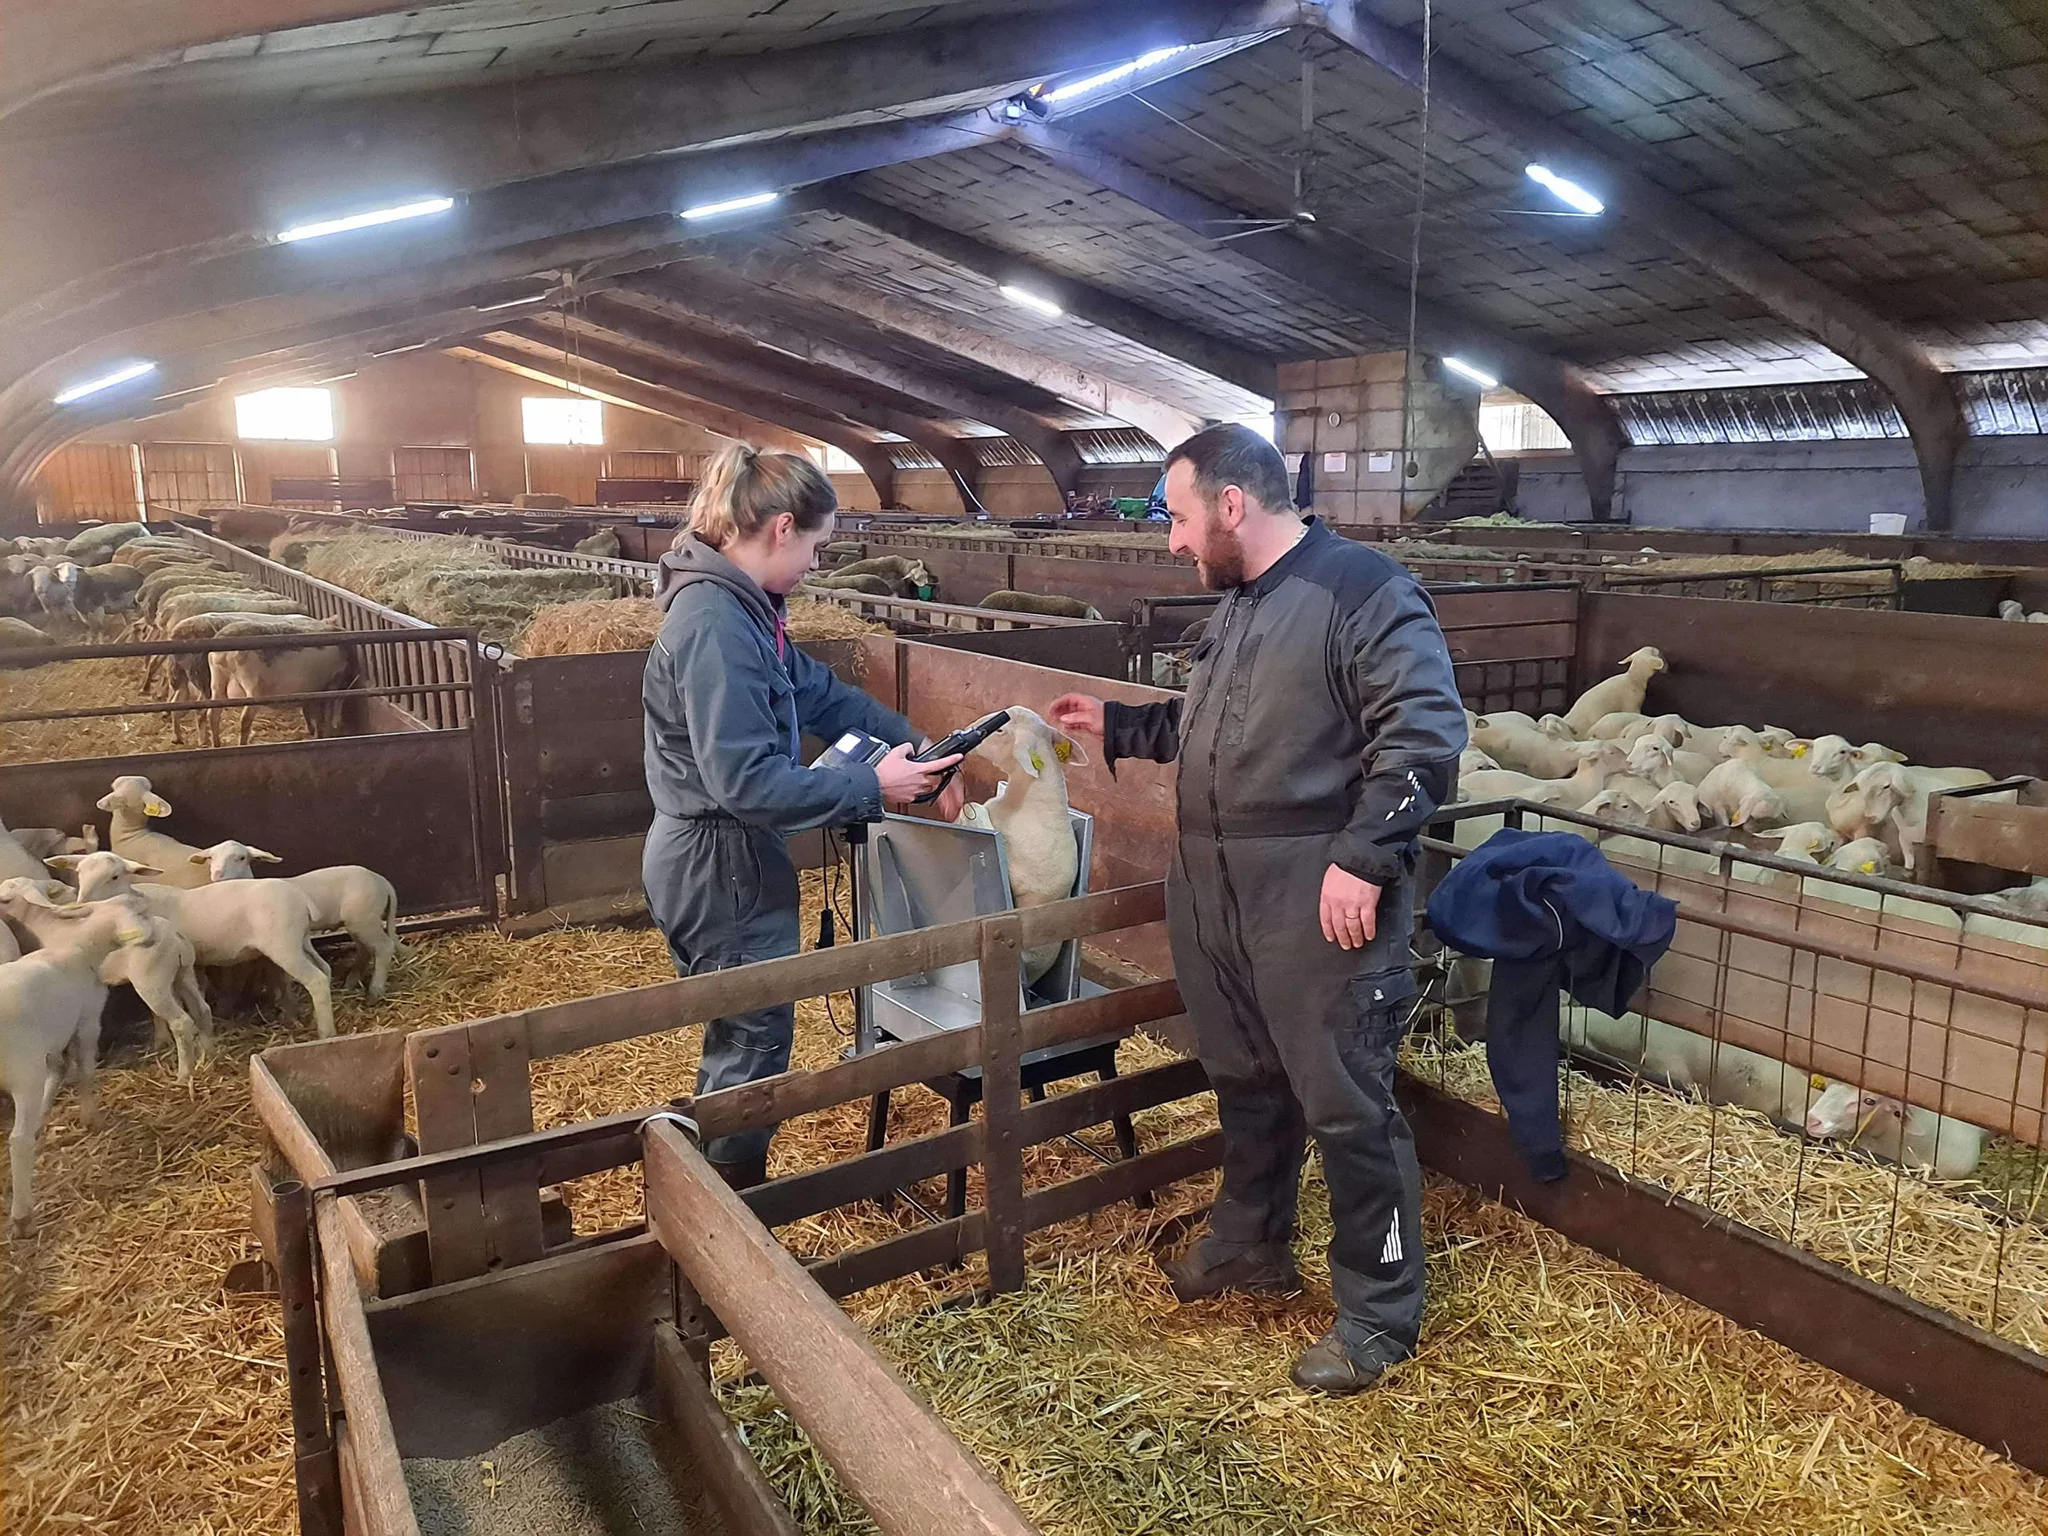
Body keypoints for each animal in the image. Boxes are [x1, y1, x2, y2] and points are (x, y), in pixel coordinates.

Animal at [193, 843, 401, 999]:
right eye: (210, 858)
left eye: (241, 857)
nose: (217, 875)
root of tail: (383, 881)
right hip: (359, 921)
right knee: (366, 950)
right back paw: (351, 983)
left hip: (364, 919)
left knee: (384, 947)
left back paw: (375, 991)